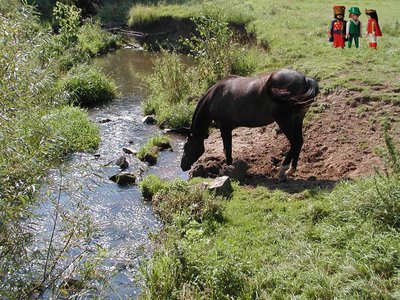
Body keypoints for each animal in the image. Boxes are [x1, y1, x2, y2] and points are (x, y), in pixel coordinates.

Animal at [180, 69, 318, 179]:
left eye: (186, 147)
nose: (183, 166)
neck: (215, 98)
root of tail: (305, 80)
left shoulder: (225, 127)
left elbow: (227, 150)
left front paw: (229, 170)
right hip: (297, 119)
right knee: (299, 141)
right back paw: (291, 170)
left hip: (284, 121)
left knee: (295, 141)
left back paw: (282, 170)